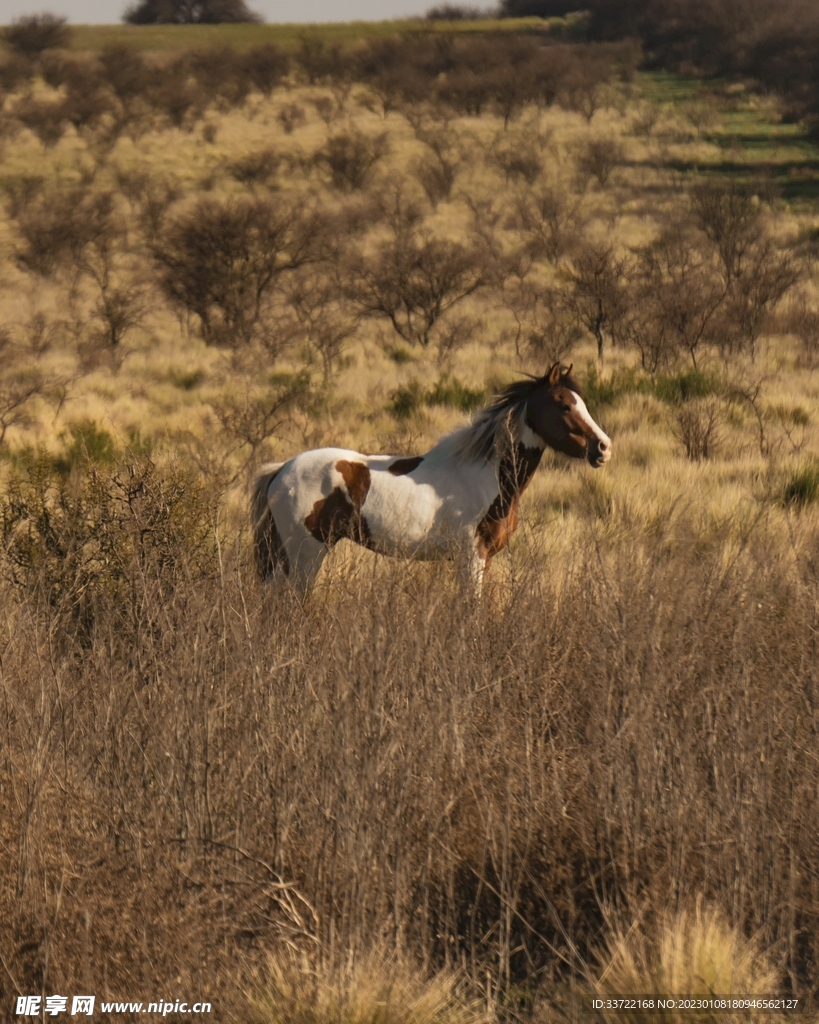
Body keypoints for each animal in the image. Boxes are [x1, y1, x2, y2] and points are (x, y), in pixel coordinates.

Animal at [251, 362, 611, 594]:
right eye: (563, 405)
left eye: (581, 403)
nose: (603, 447)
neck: (486, 474)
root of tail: (281, 471)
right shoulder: (471, 557)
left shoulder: (484, 560)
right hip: (305, 555)